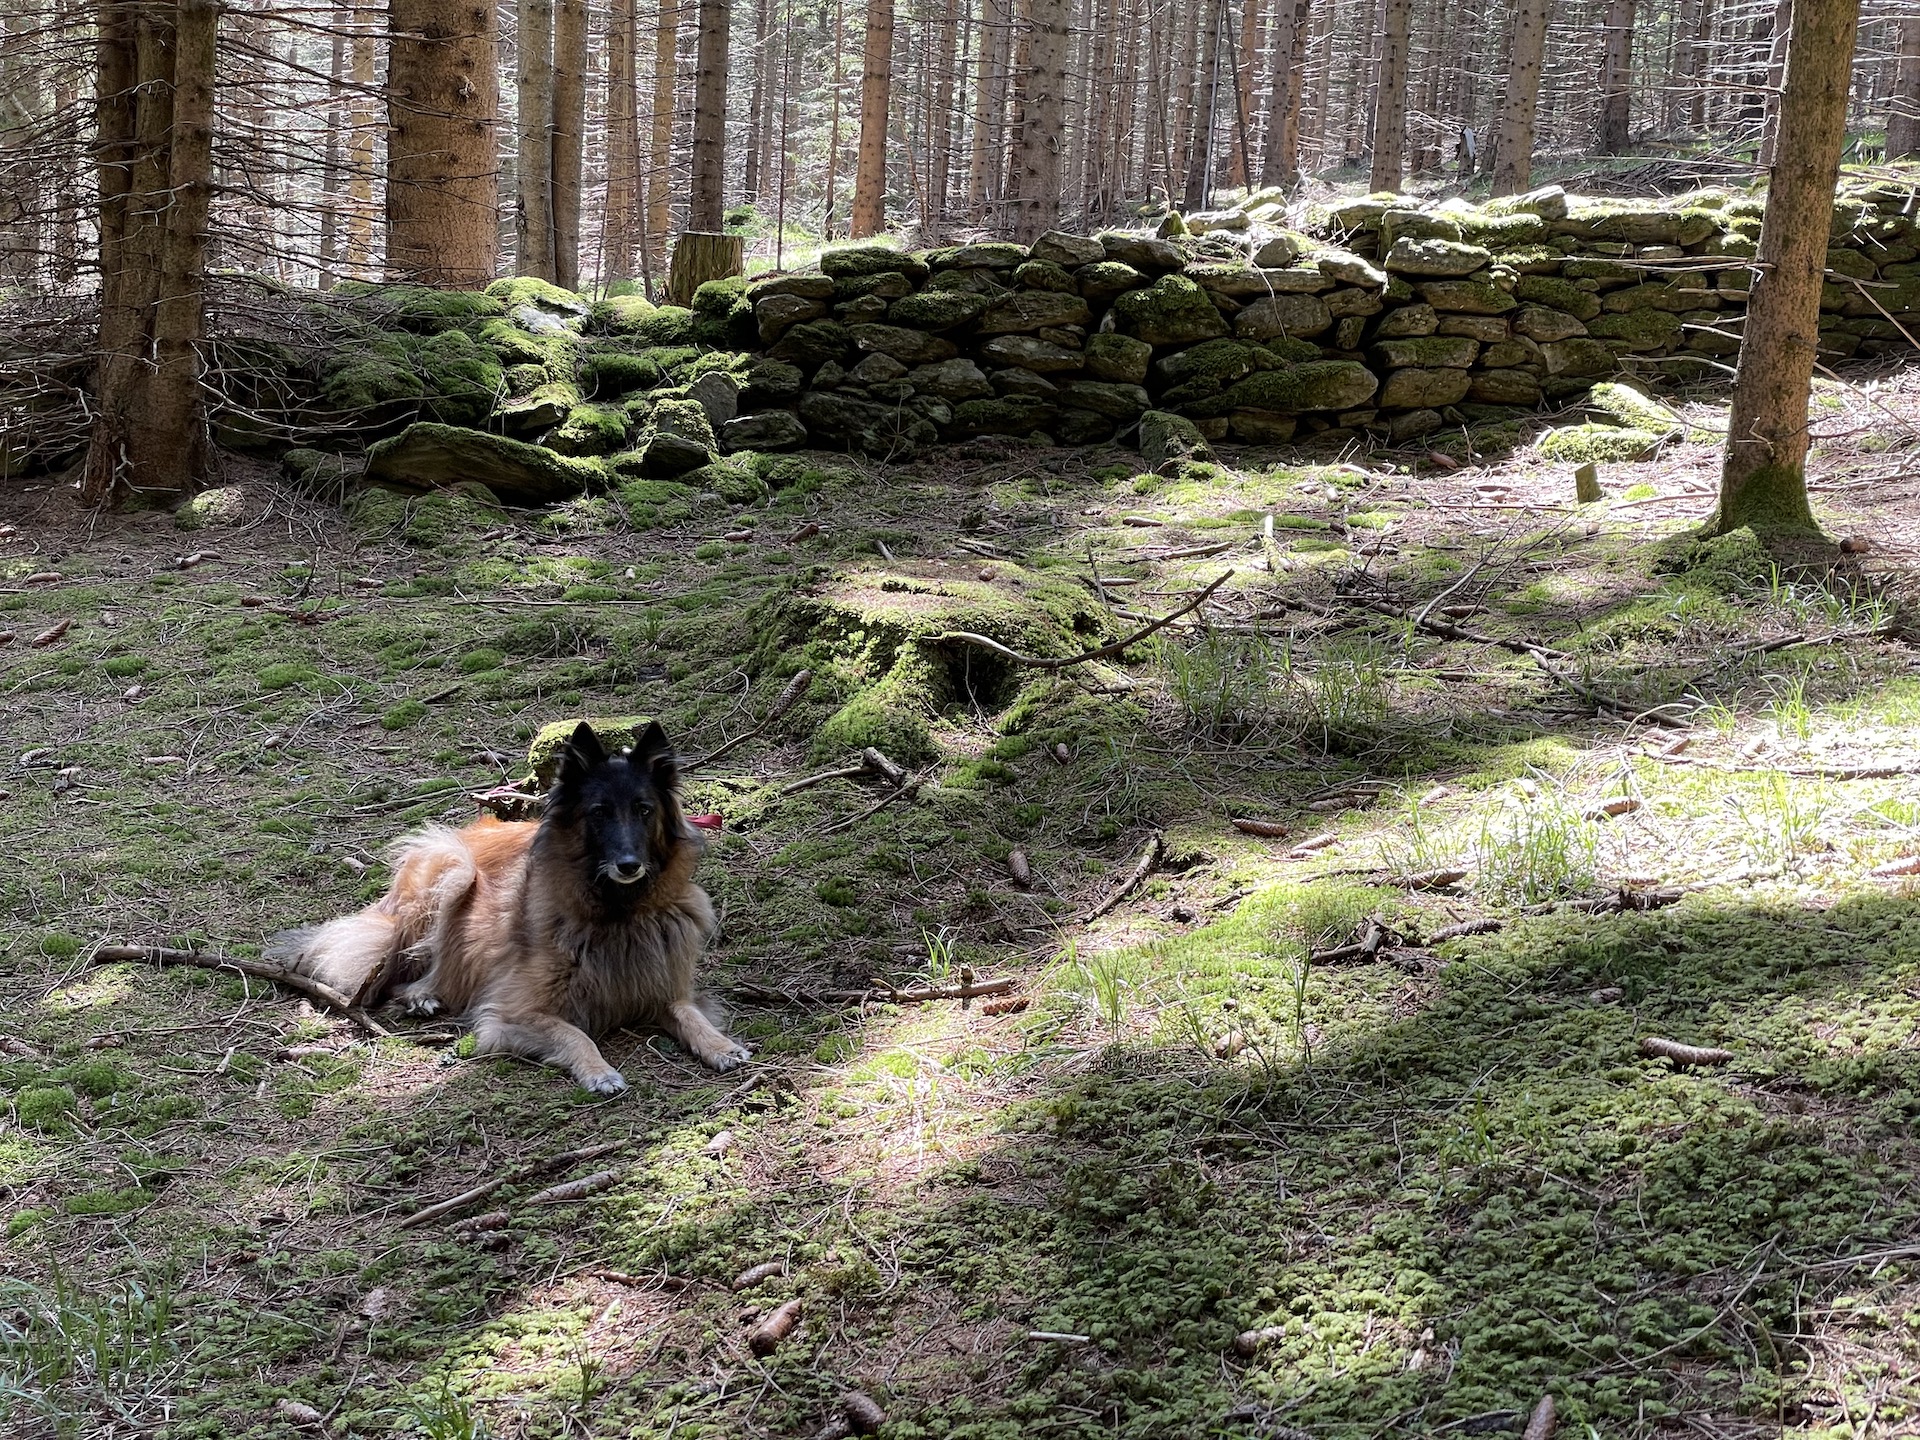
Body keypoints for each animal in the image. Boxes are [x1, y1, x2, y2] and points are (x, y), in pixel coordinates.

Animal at [272, 721, 748, 1090]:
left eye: (644, 810)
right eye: (599, 812)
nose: (629, 865)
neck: (618, 913)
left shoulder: (667, 989)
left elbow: (691, 1015)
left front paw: (721, 1046)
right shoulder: (512, 1014)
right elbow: (576, 1035)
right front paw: (599, 1071)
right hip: (450, 868)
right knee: (400, 974)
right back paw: (423, 995)